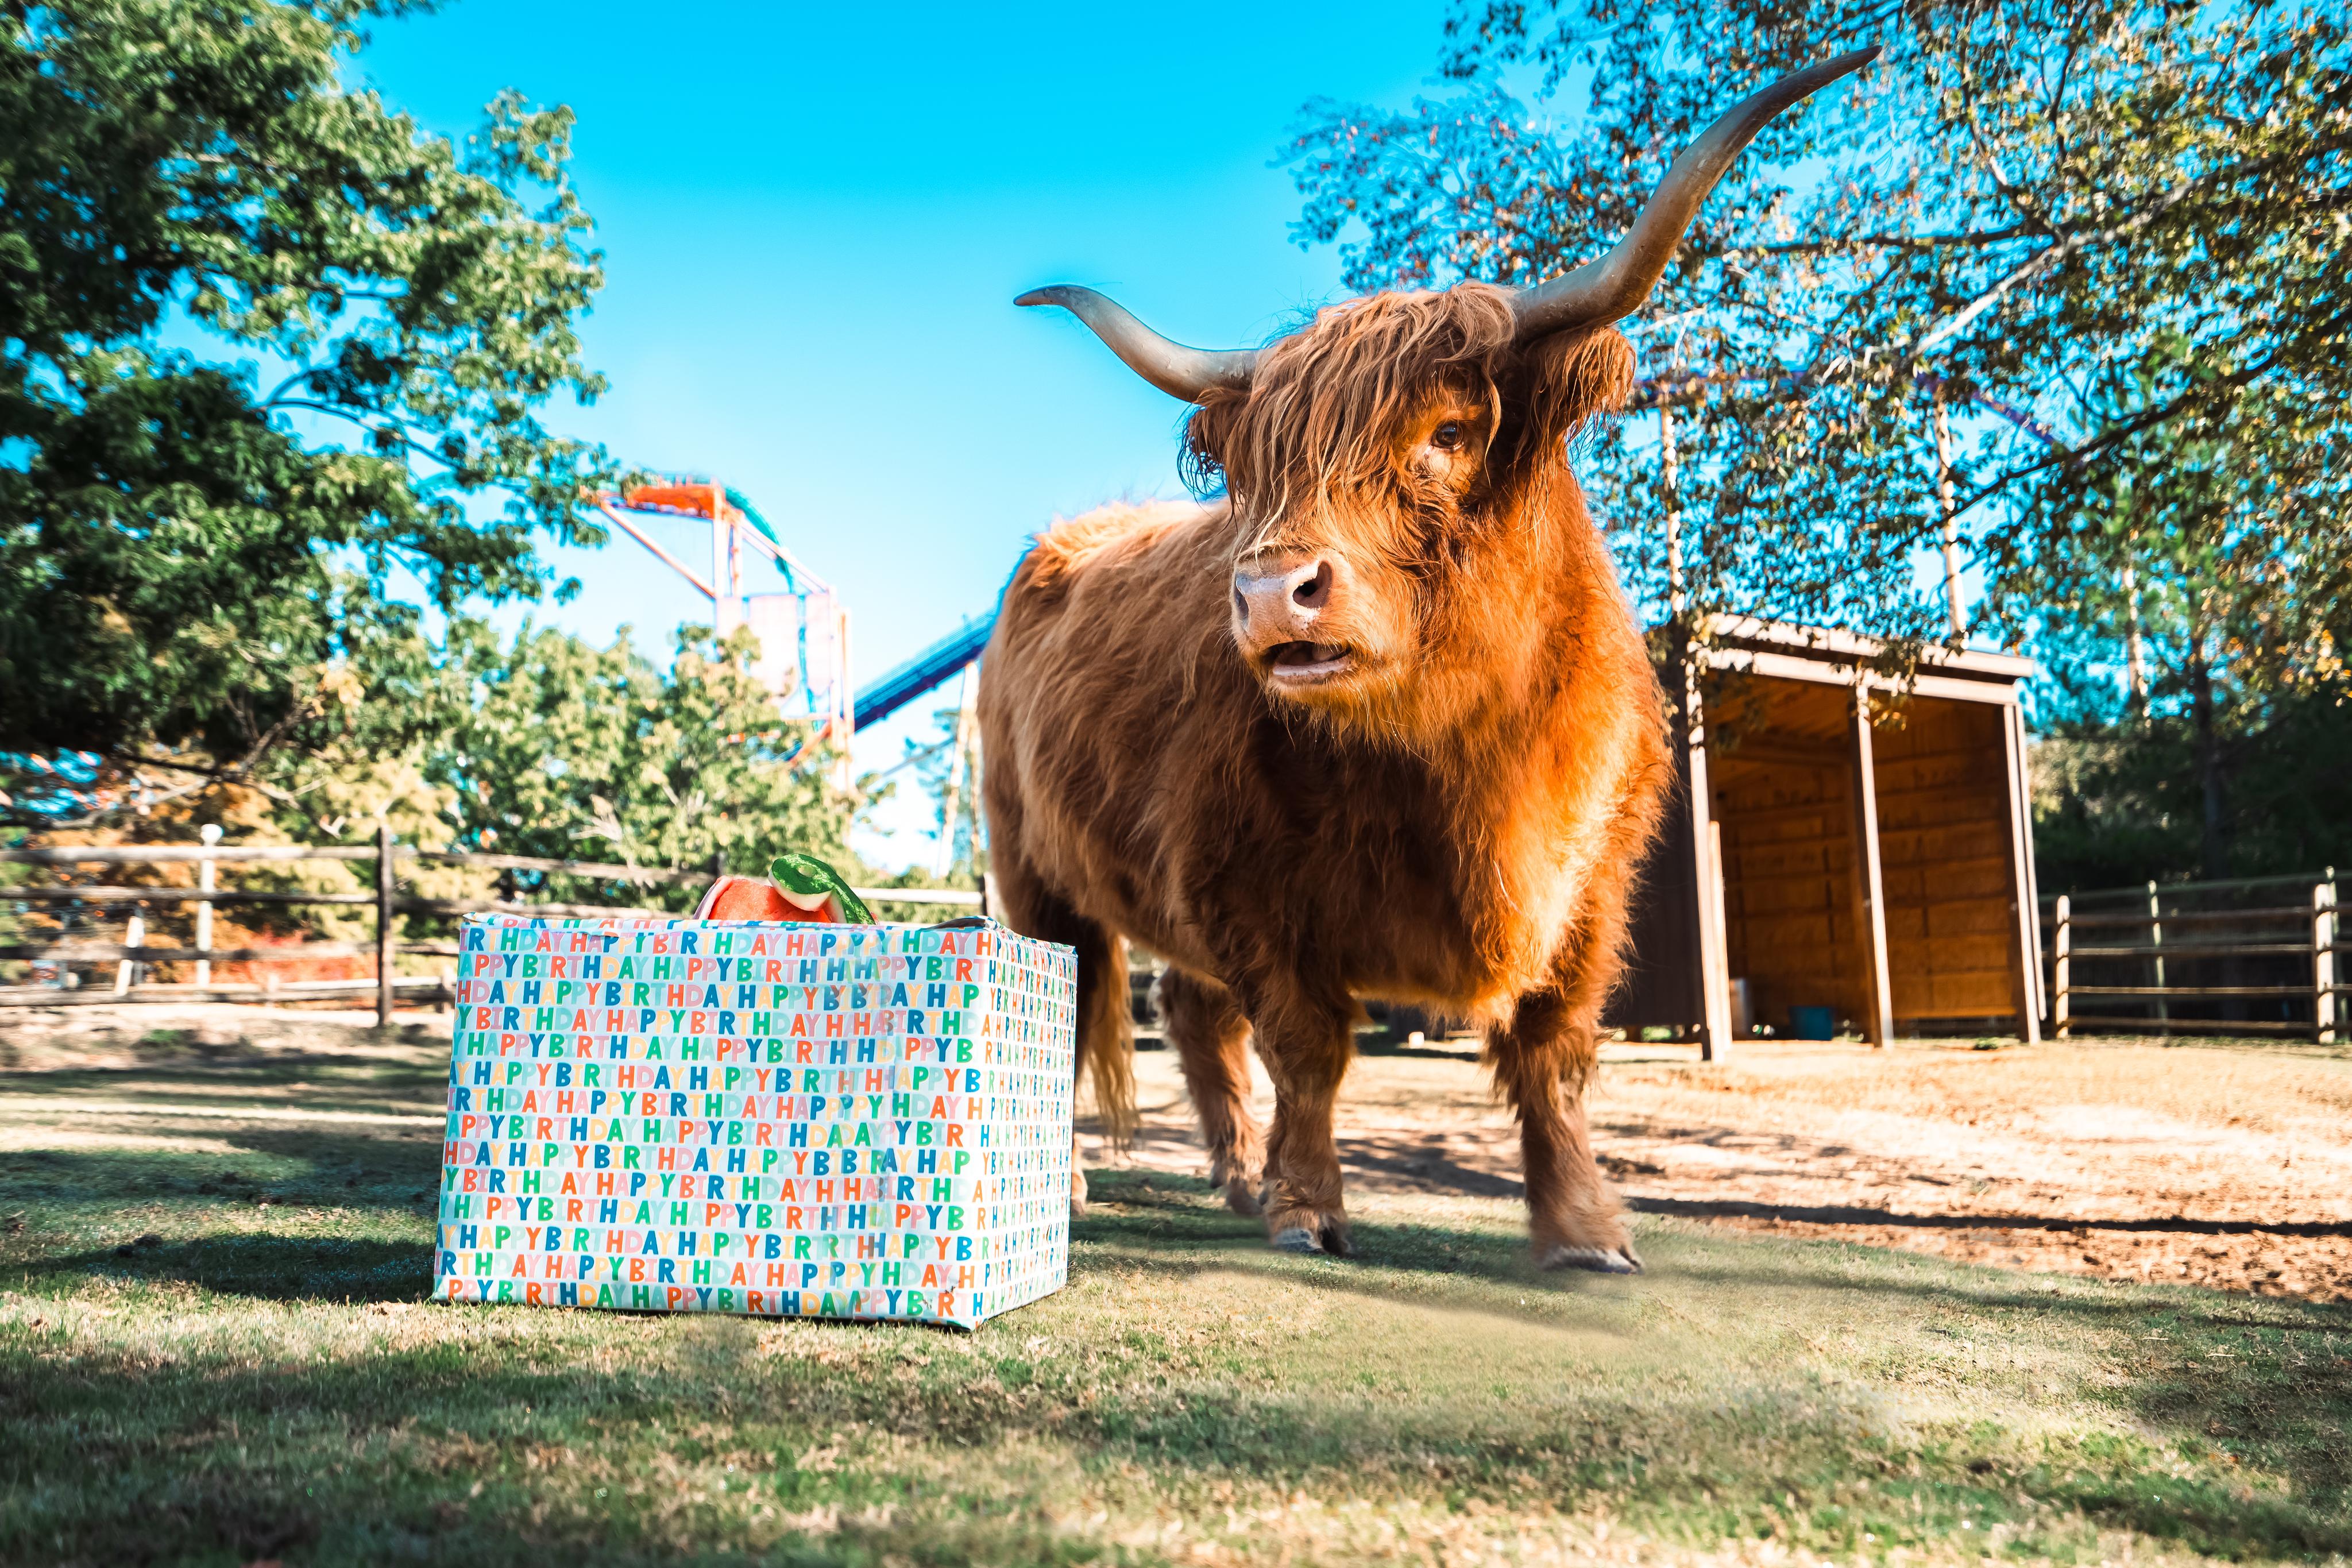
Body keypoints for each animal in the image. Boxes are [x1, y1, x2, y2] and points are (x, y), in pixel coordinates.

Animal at [983, 52, 1881, 1279]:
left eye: (1448, 435)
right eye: (1261, 466)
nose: (1272, 593)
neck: (1463, 762)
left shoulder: (1591, 892)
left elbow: (1553, 1055)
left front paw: (1585, 1231)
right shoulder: (1253, 890)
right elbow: (1310, 1051)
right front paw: (1307, 1209)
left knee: (1194, 1016)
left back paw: (1232, 1174)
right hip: (1032, 869)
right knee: (1068, 1000)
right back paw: (1074, 1179)